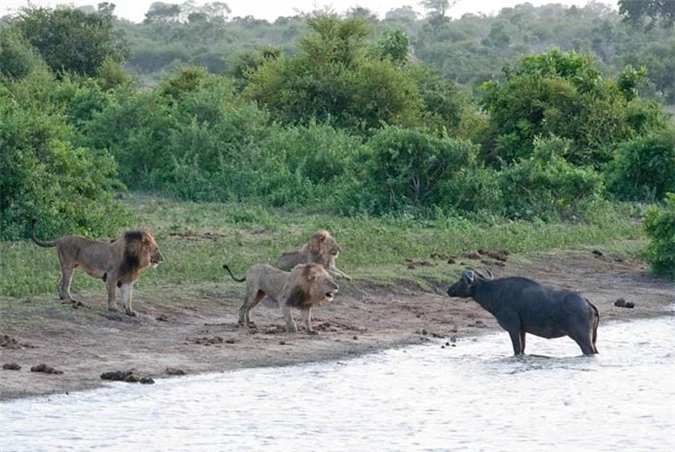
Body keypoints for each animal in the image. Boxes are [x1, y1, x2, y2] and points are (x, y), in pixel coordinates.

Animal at [30, 217, 165, 316]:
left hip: (70, 266)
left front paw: (130, 312)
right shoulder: (111, 277)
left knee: (60, 281)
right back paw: (70, 300)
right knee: (65, 285)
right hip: (68, 266)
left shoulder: (127, 280)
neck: (135, 258)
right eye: (156, 249)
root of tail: (61, 239)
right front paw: (113, 308)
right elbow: (113, 294)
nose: (162, 259)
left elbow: (128, 297)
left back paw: (62, 297)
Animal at [446, 270, 600, 354]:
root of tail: (586, 302)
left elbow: (517, 349)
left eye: (461, 280)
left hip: (582, 338)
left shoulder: (513, 328)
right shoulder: (522, 330)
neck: (495, 292)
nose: (448, 289)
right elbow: (523, 348)